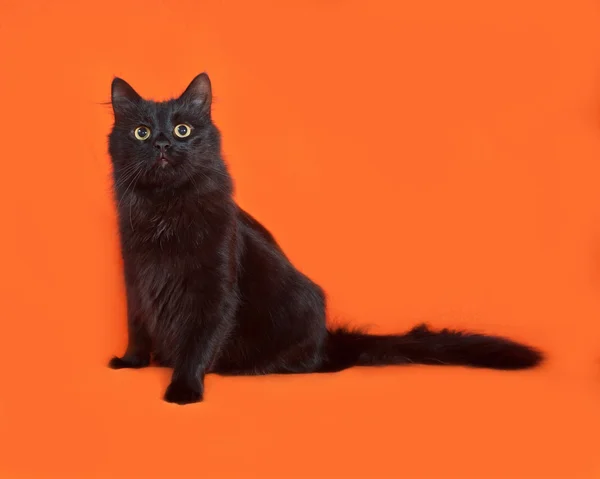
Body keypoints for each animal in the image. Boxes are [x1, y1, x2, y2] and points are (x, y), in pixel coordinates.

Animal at [108, 74, 544, 404]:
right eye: (141, 132)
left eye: (182, 129)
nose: (163, 143)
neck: (165, 210)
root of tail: (329, 344)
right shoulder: (136, 280)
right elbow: (137, 327)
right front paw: (132, 363)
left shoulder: (214, 286)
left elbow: (199, 340)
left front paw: (184, 389)